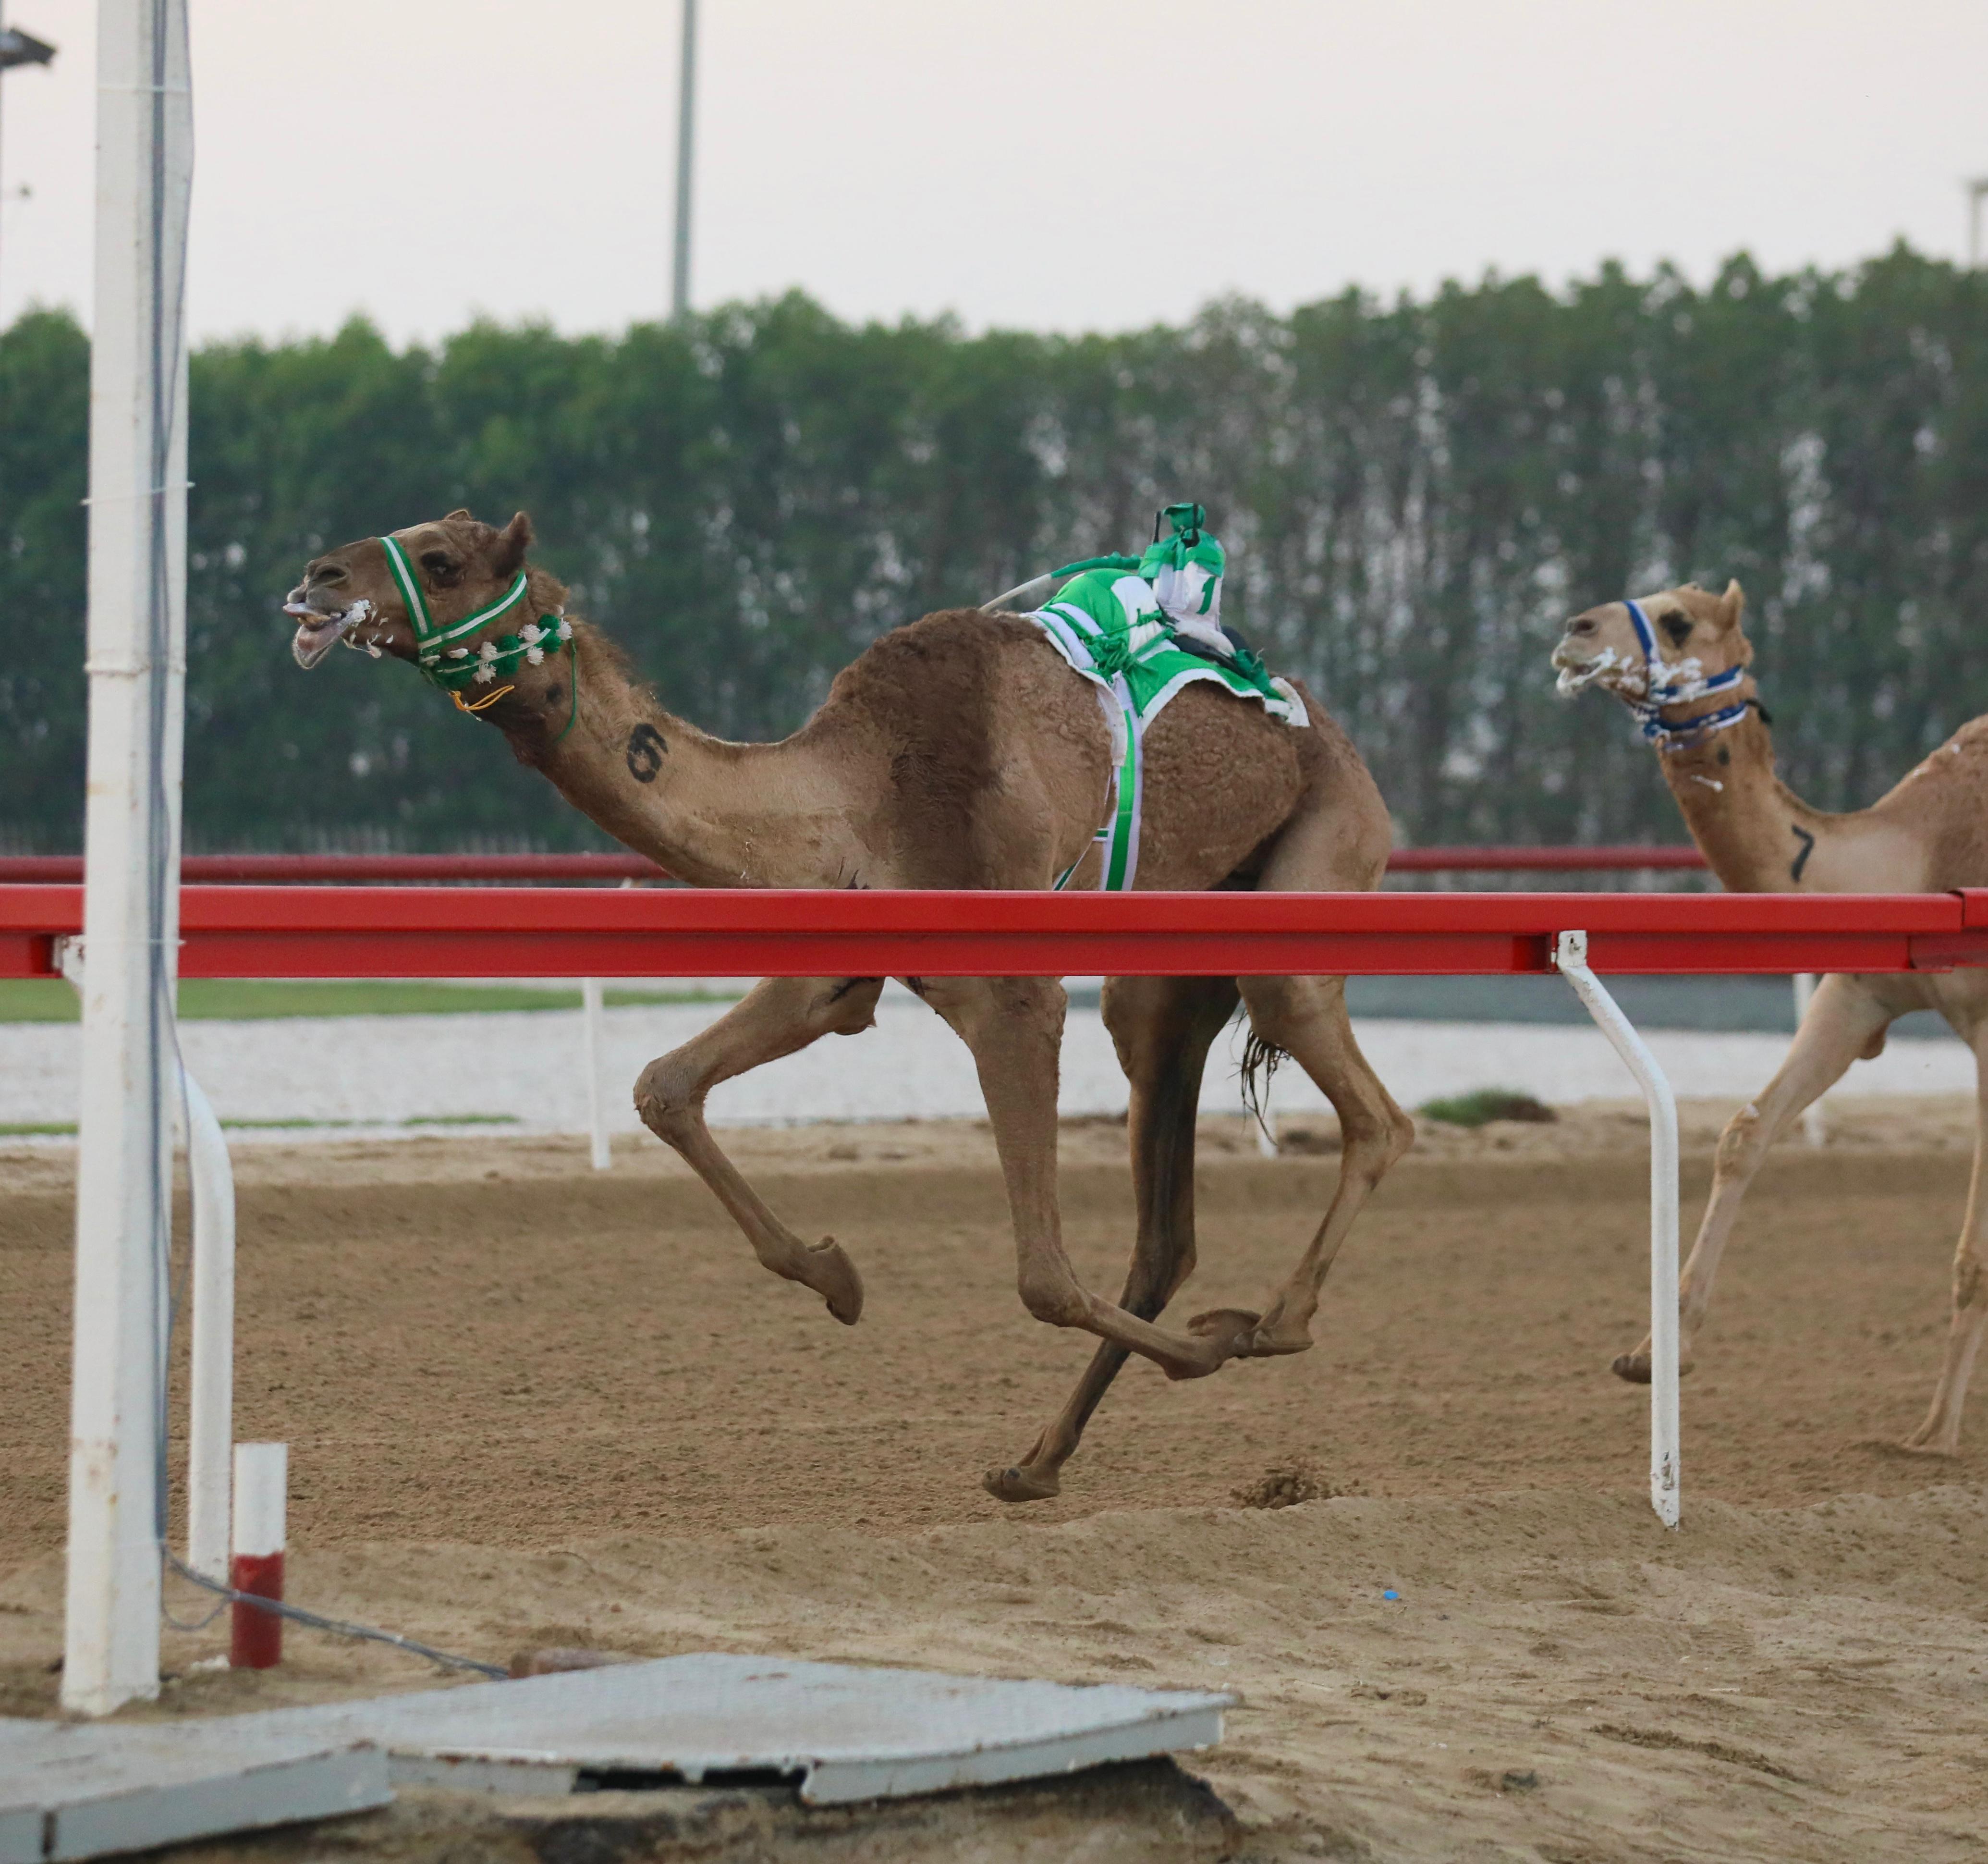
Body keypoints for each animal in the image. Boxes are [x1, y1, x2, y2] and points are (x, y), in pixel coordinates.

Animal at [1550, 581, 1988, 1456]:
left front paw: (1933, 1433)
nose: (1572, 631)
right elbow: (1743, 1133)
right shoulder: (1854, 993)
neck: (1916, 856)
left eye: (1678, 621)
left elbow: (1972, 1248)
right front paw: (1651, 1356)